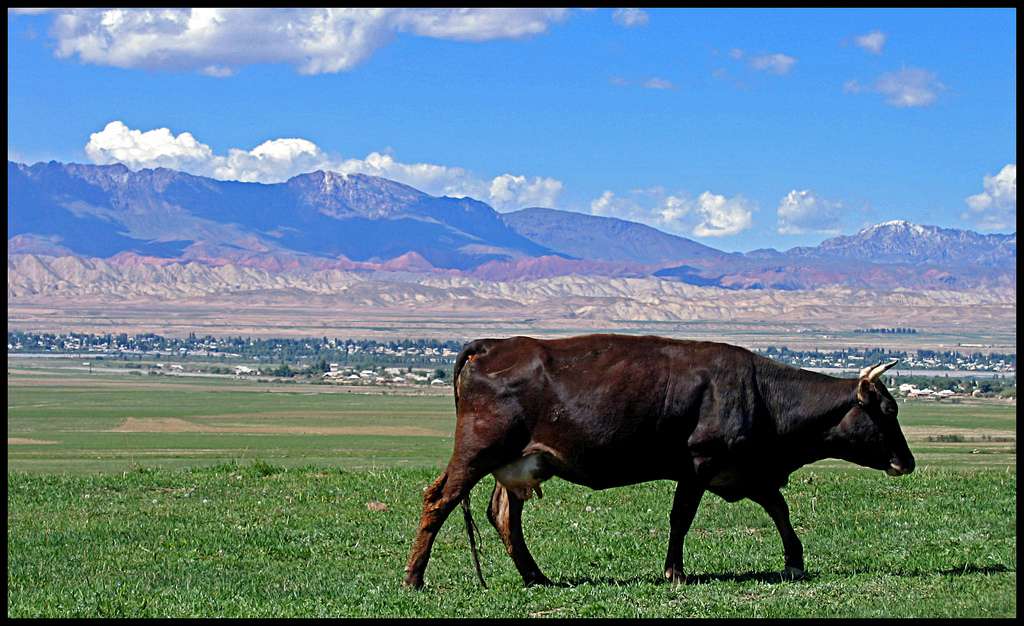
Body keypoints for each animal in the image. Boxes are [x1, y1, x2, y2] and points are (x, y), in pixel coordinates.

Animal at [399, 336, 913, 590]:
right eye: (888, 410)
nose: (906, 461)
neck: (761, 394)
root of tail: (491, 345)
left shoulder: (745, 471)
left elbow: (778, 509)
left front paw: (794, 562)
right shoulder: (699, 464)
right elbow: (681, 518)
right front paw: (675, 572)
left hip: (519, 464)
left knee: (505, 515)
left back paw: (536, 577)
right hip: (477, 452)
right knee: (439, 500)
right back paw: (414, 578)